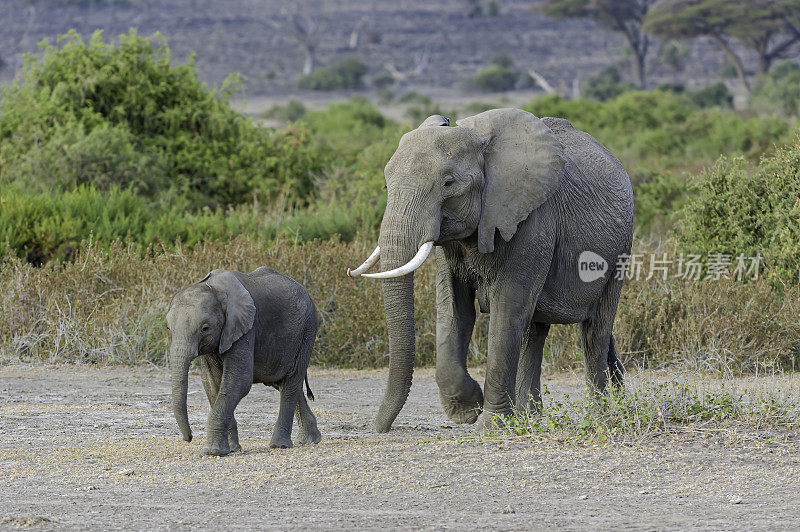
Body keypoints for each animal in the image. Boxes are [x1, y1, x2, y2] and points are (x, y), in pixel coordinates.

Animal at [168, 268, 322, 456]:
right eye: (169, 328)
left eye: (205, 328)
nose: (189, 438)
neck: (214, 289)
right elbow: (211, 383)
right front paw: (232, 449)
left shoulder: (246, 329)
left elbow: (239, 380)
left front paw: (213, 452)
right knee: (284, 382)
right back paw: (310, 440)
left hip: (307, 332)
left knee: (291, 382)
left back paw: (280, 445)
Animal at [346, 108, 636, 432]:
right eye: (386, 185)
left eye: (448, 183)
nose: (380, 428)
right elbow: (454, 310)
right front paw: (467, 410)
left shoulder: (531, 219)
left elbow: (507, 309)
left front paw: (489, 424)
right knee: (534, 329)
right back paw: (530, 419)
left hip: (620, 250)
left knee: (594, 332)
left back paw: (600, 418)